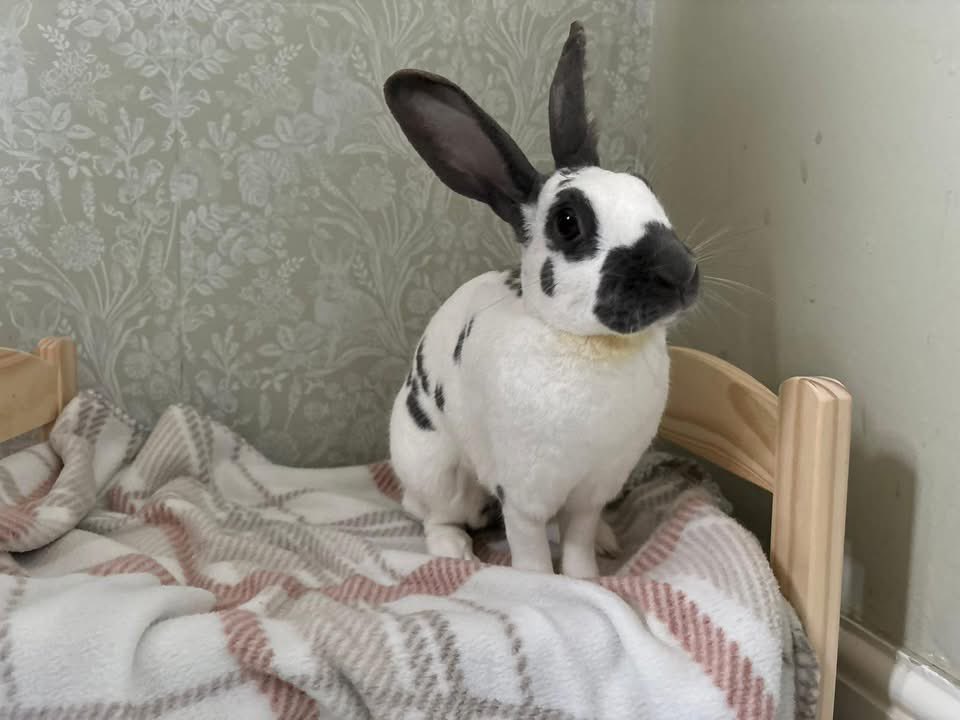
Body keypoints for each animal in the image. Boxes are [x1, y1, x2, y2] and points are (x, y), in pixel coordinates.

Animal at [385, 22, 699, 578]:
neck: (586, 343)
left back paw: (608, 541)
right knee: (435, 514)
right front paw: (542, 582)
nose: (679, 274)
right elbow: (530, 546)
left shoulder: (594, 489)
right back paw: (452, 549)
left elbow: (576, 537)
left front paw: (586, 577)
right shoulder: (525, 494)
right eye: (568, 223)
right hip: (436, 470)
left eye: (644, 186)